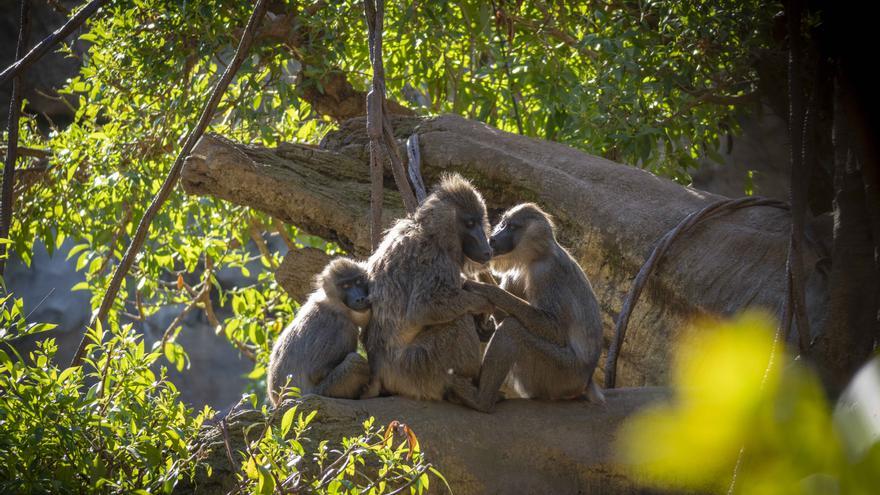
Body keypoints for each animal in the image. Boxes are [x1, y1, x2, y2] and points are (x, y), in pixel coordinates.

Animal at [264, 258, 368, 404]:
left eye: (358, 281)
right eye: (345, 286)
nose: (360, 298)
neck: (334, 304)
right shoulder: (341, 328)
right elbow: (317, 372)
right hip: (324, 391)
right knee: (354, 362)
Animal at [358, 172, 496, 408]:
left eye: (480, 221)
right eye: (470, 223)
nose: (487, 249)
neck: (429, 231)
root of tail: (379, 371)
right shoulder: (435, 260)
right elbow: (424, 308)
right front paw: (483, 305)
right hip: (416, 368)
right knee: (458, 320)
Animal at [460, 202, 604, 410]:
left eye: (512, 227)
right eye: (503, 223)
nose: (493, 239)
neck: (536, 256)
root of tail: (586, 381)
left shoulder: (545, 273)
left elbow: (554, 330)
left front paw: (483, 288)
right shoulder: (516, 275)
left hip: (561, 374)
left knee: (512, 329)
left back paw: (481, 401)